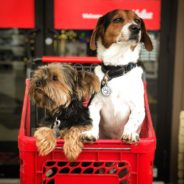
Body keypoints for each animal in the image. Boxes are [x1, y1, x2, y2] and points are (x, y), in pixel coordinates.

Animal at [81, 9, 152, 144]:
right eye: (117, 19)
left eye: (138, 20)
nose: (136, 28)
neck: (117, 67)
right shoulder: (94, 104)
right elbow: (93, 120)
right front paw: (90, 133)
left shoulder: (138, 107)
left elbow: (132, 121)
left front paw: (130, 133)